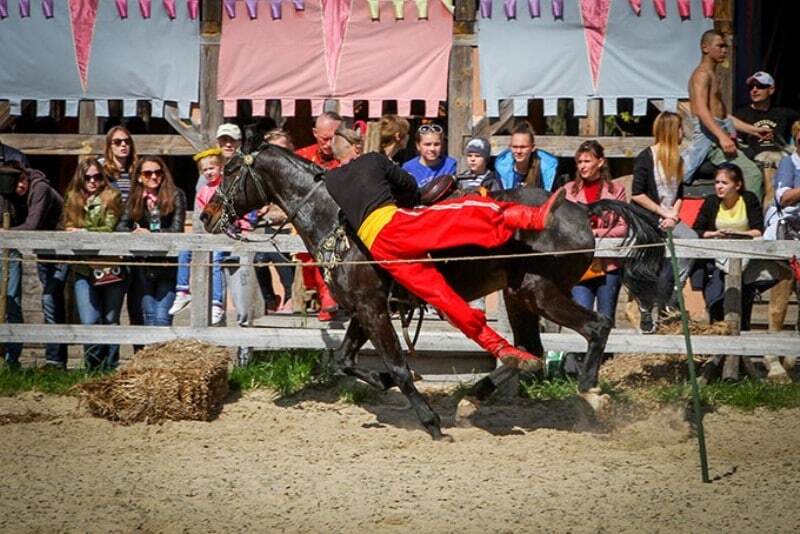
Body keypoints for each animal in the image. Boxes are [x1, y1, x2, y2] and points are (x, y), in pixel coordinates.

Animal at [202, 143, 664, 440]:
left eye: (231, 170)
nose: (207, 214)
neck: (333, 215)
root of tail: (580, 209)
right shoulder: (364, 309)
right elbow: (346, 360)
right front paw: (381, 380)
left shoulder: (372, 310)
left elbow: (398, 366)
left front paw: (428, 420)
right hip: (519, 296)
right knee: (528, 351)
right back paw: (474, 398)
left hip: (542, 293)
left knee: (596, 326)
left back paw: (590, 389)